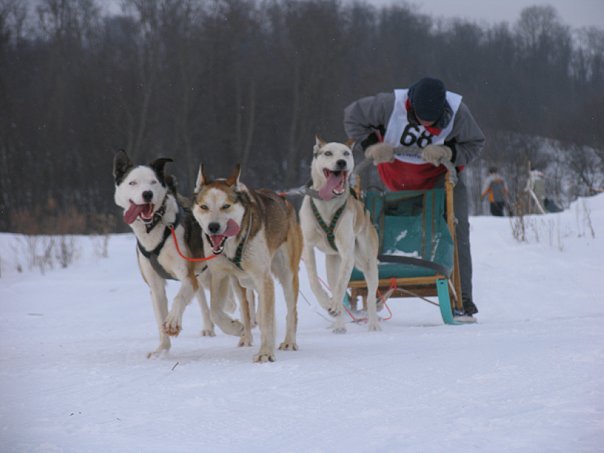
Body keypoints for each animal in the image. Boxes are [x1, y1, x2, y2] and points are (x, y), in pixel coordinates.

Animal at [113, 150, 243, 358]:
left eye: (153, 182)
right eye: (132, 182)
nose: (147, 194)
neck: (155, 229)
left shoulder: (187, 276)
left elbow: (179, 298)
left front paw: (173, 321)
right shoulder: (155, 285)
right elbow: (160, 317)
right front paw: (162, 349)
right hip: (202, 274)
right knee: (203, 299)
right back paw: (209, 326)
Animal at [192, 163, 303, 362]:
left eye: (225, 206)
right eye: (204, 206)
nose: (213, 227)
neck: (232, 245)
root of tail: (285, 202)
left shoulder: (263, 277)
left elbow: (267, 319)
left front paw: (265, 352)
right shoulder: (220, 276)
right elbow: (215, 311)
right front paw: (235, 327)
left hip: (287, 275)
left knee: (291, 311)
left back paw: (289, 341)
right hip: (240, 283)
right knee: (246, 308)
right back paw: (246, 336)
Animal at [299, 136, 381, 333]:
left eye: (346, 153)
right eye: (328, 153)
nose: (341, 162)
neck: (327, 202)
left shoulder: (347, 252)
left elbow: (341, 284)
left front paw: (334, 304)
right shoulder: (308, 246)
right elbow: (313, 280)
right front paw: (325, 301)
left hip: (368, 262)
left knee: (369, 296)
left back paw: (373, 324)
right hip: (332, 262)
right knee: (334, 282)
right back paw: (339, 325)